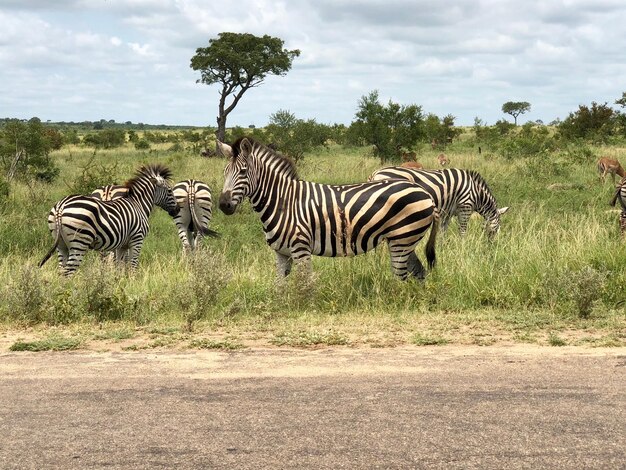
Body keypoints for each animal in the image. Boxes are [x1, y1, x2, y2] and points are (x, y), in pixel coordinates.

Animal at [39, 164, 178, 276]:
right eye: (169, 190)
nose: (177, 210)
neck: (138, 204)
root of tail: (61, 206)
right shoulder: (137, 239)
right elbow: (132, 265)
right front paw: (132, 282)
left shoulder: (122, 244)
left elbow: (119, 266)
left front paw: (119, 284)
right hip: (79, 242)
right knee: (69, 272)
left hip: (61, 244)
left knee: (62, 270)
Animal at [217, 138, 436, 280]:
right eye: (225, 172)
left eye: (243, 171)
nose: (223, 205)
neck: (283, 202)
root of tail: (425, 192)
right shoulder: (281, 252)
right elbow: (280, 285)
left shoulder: (301, 249)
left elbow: (304, 284)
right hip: (403, 240)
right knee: (419, 273)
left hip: (402, 239)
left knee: (402, 277)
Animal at [366, 166, 508, 239]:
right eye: (498, 226)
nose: (492, 245)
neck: (477, 194)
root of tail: (375, 173)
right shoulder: (465, 207)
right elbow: (462, 231)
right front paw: (463, 247)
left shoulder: (448, 212)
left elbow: (443, 231)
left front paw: (442, 247)